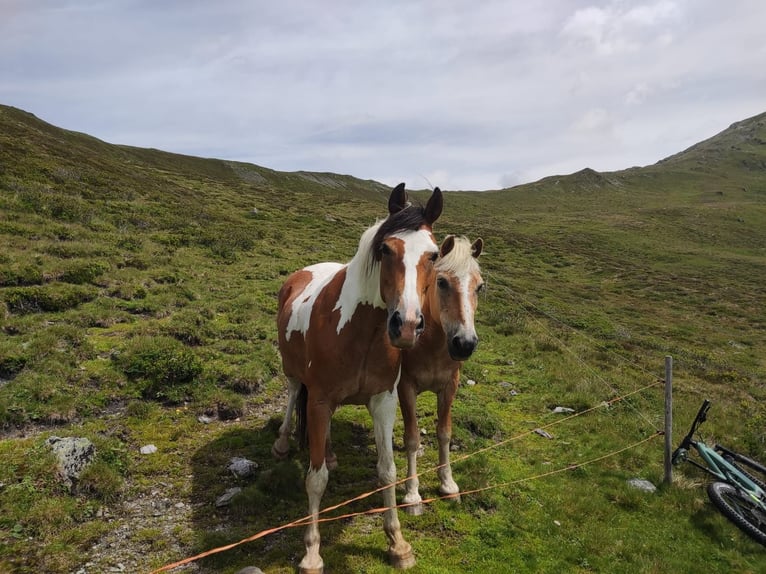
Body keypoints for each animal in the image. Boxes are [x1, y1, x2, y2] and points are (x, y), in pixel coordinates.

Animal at [276, 184, 444, 574]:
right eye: (386, 249)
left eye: (433, 254)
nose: (407, 325)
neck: (359, 331)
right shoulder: (319, 399)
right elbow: (316, 479)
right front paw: (311, 553)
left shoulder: (384, 401)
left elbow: (387, 470)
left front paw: (398, 543)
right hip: (294, 376)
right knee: (292, 396)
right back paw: (282, 441)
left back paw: (330, 452)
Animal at [400, 235, 484, 516]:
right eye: (442, 282)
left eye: (480, 287)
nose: (465, 343)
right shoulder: (406, 388)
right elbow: (412, 438)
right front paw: (412, 494)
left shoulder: (449, 387)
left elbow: (444, 432)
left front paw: (448, 485)